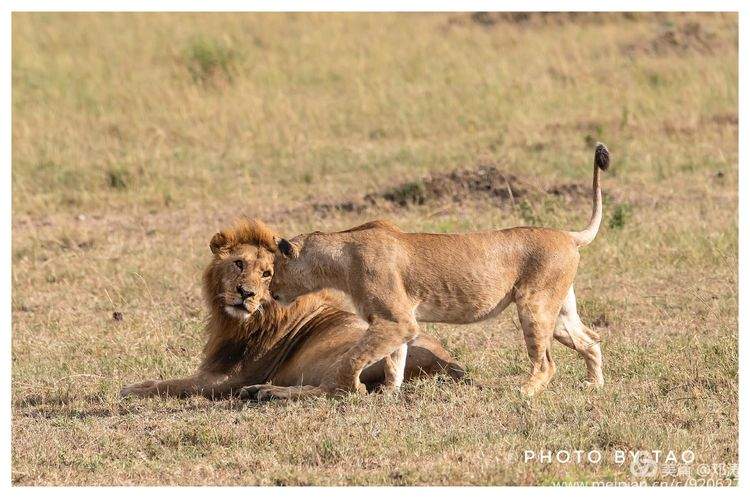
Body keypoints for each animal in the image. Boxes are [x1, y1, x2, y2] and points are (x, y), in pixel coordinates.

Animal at [120, 218, 468, 400]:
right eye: (239, 264)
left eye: (266, 273)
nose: (245, 293)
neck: (241, 322)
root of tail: (450, 363)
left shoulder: (232, 377)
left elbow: (174, 384)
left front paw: (133, 388)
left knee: (338, 390)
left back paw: (266, 391)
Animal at [270, 143, 612, 396]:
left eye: (273, 269)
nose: (271, 294)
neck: (339, 258)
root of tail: (567, 234)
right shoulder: (396, 323)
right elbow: (393, 361)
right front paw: (389, 395)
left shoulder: (396, 320)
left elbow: (353, 357)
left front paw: (353, 389)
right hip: (559, 310)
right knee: (591, 339)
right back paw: (593, 384)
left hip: (534, 304)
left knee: (545, 363)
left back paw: (524, 392)